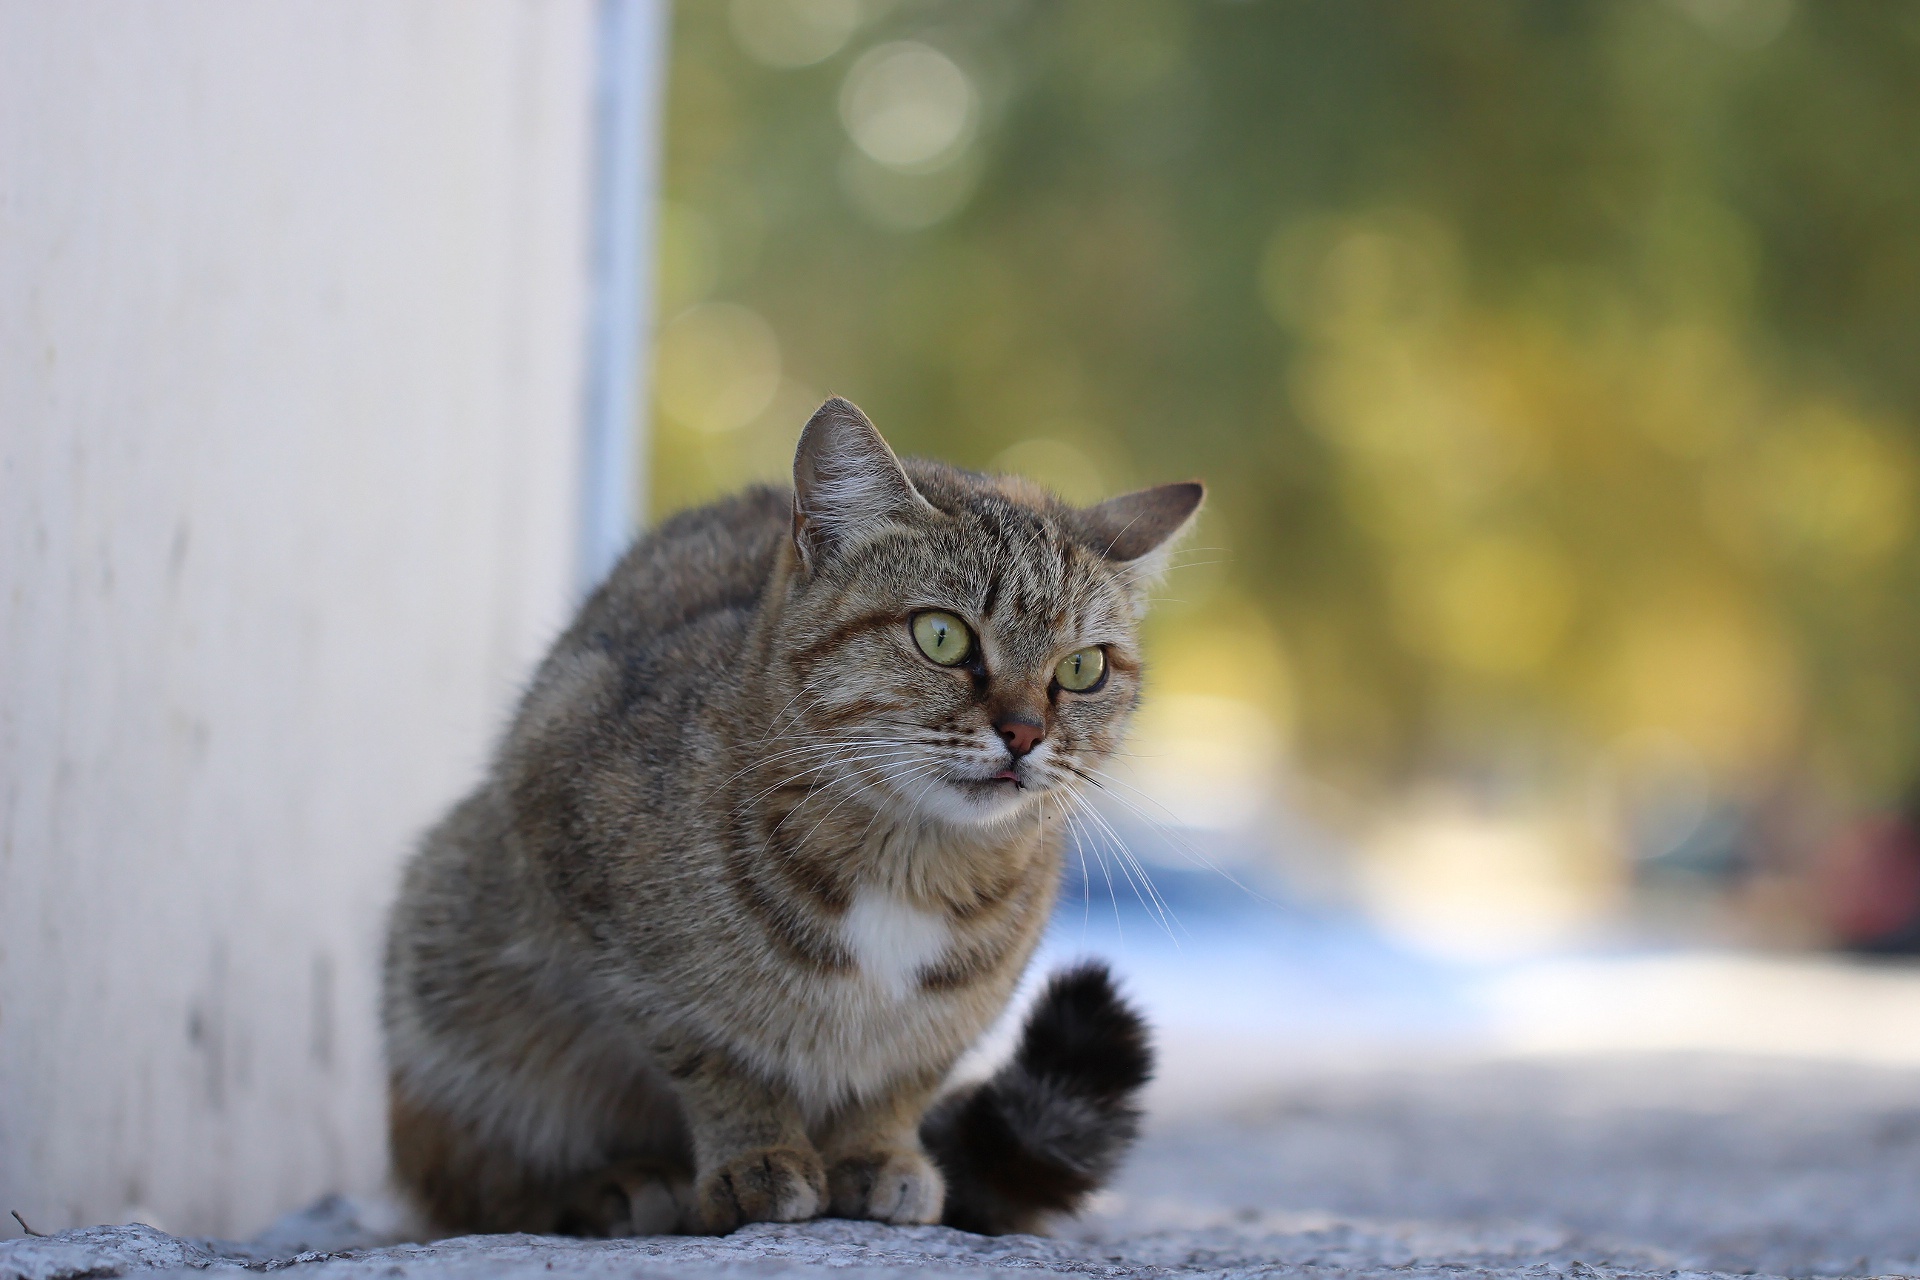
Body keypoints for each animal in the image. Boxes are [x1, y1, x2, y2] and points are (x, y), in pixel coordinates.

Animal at [378, 395, 1198, 1235]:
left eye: (1083, 668)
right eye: (942, 635)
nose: (1026, 733)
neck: (908, 858)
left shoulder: (957, 1014)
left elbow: (899, 1078)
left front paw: (879, 1153)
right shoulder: (601, 903)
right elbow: (718, 1057)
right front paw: (757, 1156)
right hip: (449, 956)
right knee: (477, 1183)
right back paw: (608, 1188)